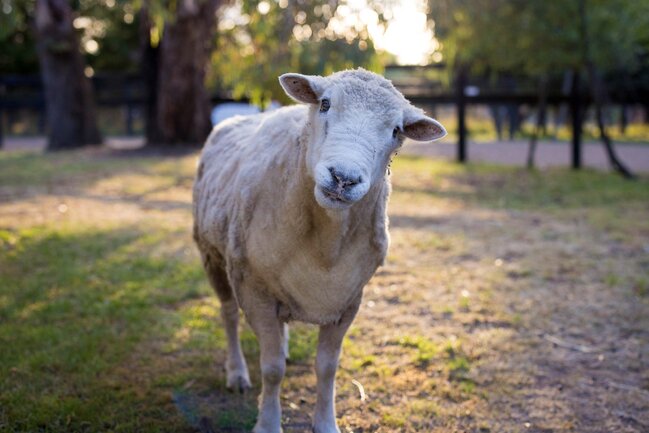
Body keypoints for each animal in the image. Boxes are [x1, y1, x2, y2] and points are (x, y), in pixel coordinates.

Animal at [192, 68, 446, 432]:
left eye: (397, 131)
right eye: (324, 104)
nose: (343, 178)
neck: (326, 242)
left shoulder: (348, 300)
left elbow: (327, 367)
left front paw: (326, 423)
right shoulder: (255, 290)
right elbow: (272, 369)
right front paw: (268, 423)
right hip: (213, 254)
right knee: (228, 314)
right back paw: (237, 373)